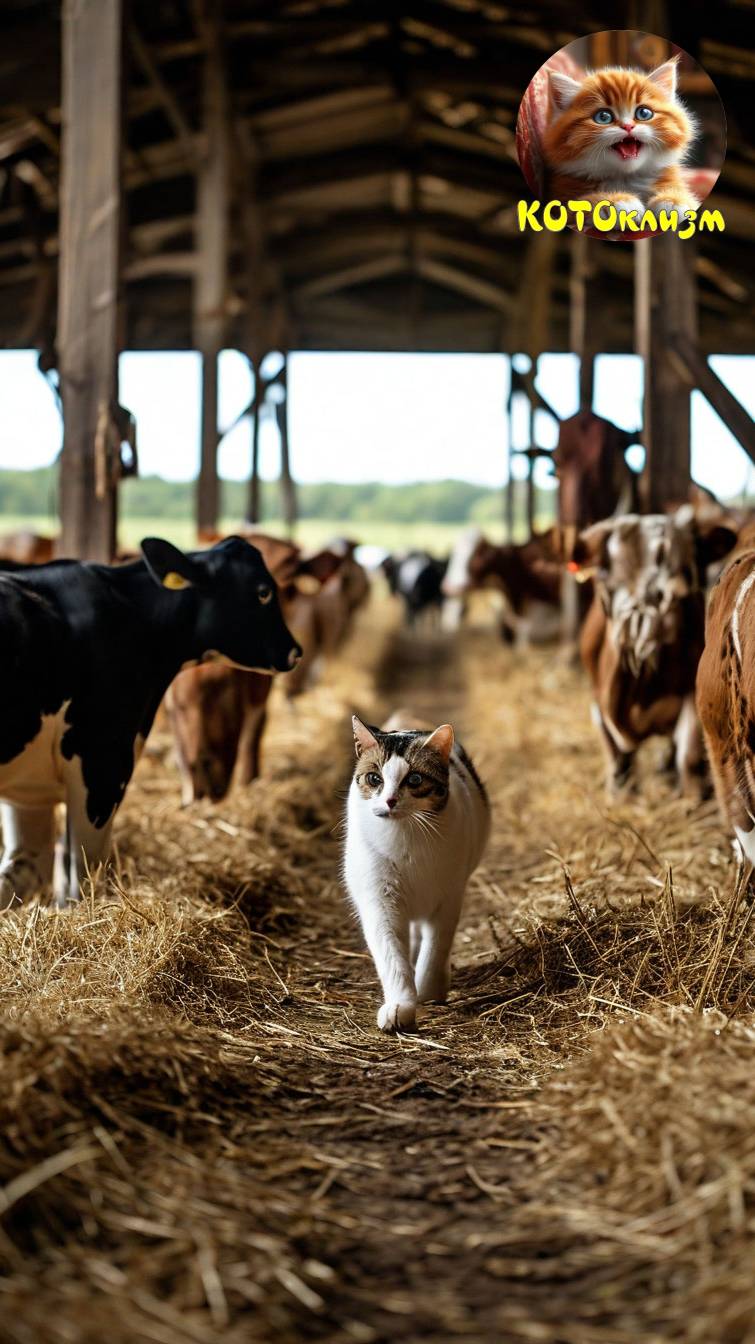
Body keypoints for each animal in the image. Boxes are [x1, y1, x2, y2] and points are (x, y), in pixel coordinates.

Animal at [0, 532, 299, 903]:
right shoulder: (102, 767)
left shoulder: (29, 788)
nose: (295, 651)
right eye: (263, 591)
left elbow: (21, 874)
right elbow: (80, 880)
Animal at [341, 709, 489, 1032]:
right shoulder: (379, 898)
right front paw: (401, 1006)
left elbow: (436, 946)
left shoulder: (449, 895)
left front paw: (429, 989)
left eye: (415, 779)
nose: (390, 801)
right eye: (374, 778)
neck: (405, 836)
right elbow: (391, 956)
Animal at [540, 57, 693, 225]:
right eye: (603, 117)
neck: (624, 178)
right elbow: (582, 203)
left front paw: (673, 200)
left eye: (644, 113)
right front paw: (618, 201)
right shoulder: (559, 201)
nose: (628, 126)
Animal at [572, 508, 730, 790]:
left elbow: (687, 754)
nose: (655, 619)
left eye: (686, 571)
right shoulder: (597, 702)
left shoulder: (692, 691)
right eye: (604, 576)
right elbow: (616, 754)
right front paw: (619, 790)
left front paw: (692, 794)